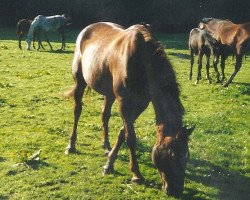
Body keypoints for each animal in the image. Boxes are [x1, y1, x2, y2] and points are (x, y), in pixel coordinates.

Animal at [65, 22, 194, 198]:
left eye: (186, 156)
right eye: (172, 155)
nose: (176, 191)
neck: (142, 59)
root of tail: (87, 29)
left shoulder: (140, 104)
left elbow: (122, 132)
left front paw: (109, 162)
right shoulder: (125, 102)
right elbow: (130, 137)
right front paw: (136, 174)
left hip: (109, 93)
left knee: (104, 115)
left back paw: (106, 145)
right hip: (80, 82)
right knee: (77, 111)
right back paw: (71, 145)